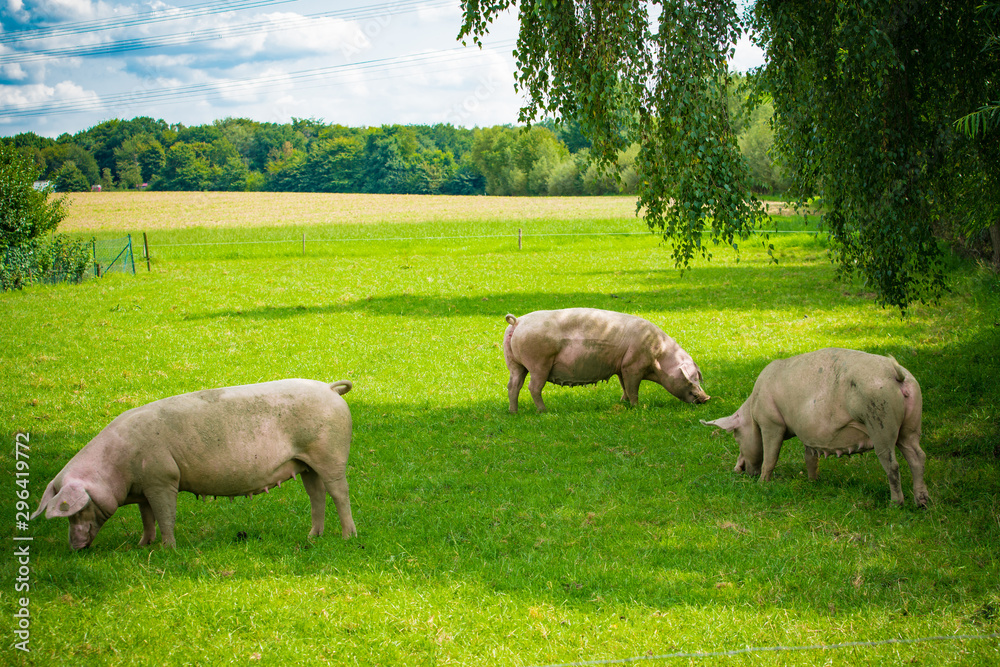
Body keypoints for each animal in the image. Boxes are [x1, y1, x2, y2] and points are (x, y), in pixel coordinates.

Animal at [31, 378, 358, 552]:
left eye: (77, 509)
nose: (74, 547)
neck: (118, 467)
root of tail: (330, 389)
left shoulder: (162, 479)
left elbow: (165, 515)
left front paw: (168, 549)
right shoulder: (145, 487)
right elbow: (146, 517)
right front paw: (143, 545)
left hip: (330, 454)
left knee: (339, 493)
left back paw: (348, 537)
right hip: (306, 464)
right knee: (316, 495)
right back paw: (312, 536)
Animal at [700, 350, 924, 506]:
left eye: (736, 436)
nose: (737, 470)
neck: (753, 406)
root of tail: (895, 373)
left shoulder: (771, 423)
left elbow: (770, 456)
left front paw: (763, 484)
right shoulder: (809, 433)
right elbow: (810, 457)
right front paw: (812, 482)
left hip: (880, 420)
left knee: (893, 464)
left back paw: (895, 504)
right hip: (911, 426)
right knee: (917, 457)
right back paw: (922, 502)